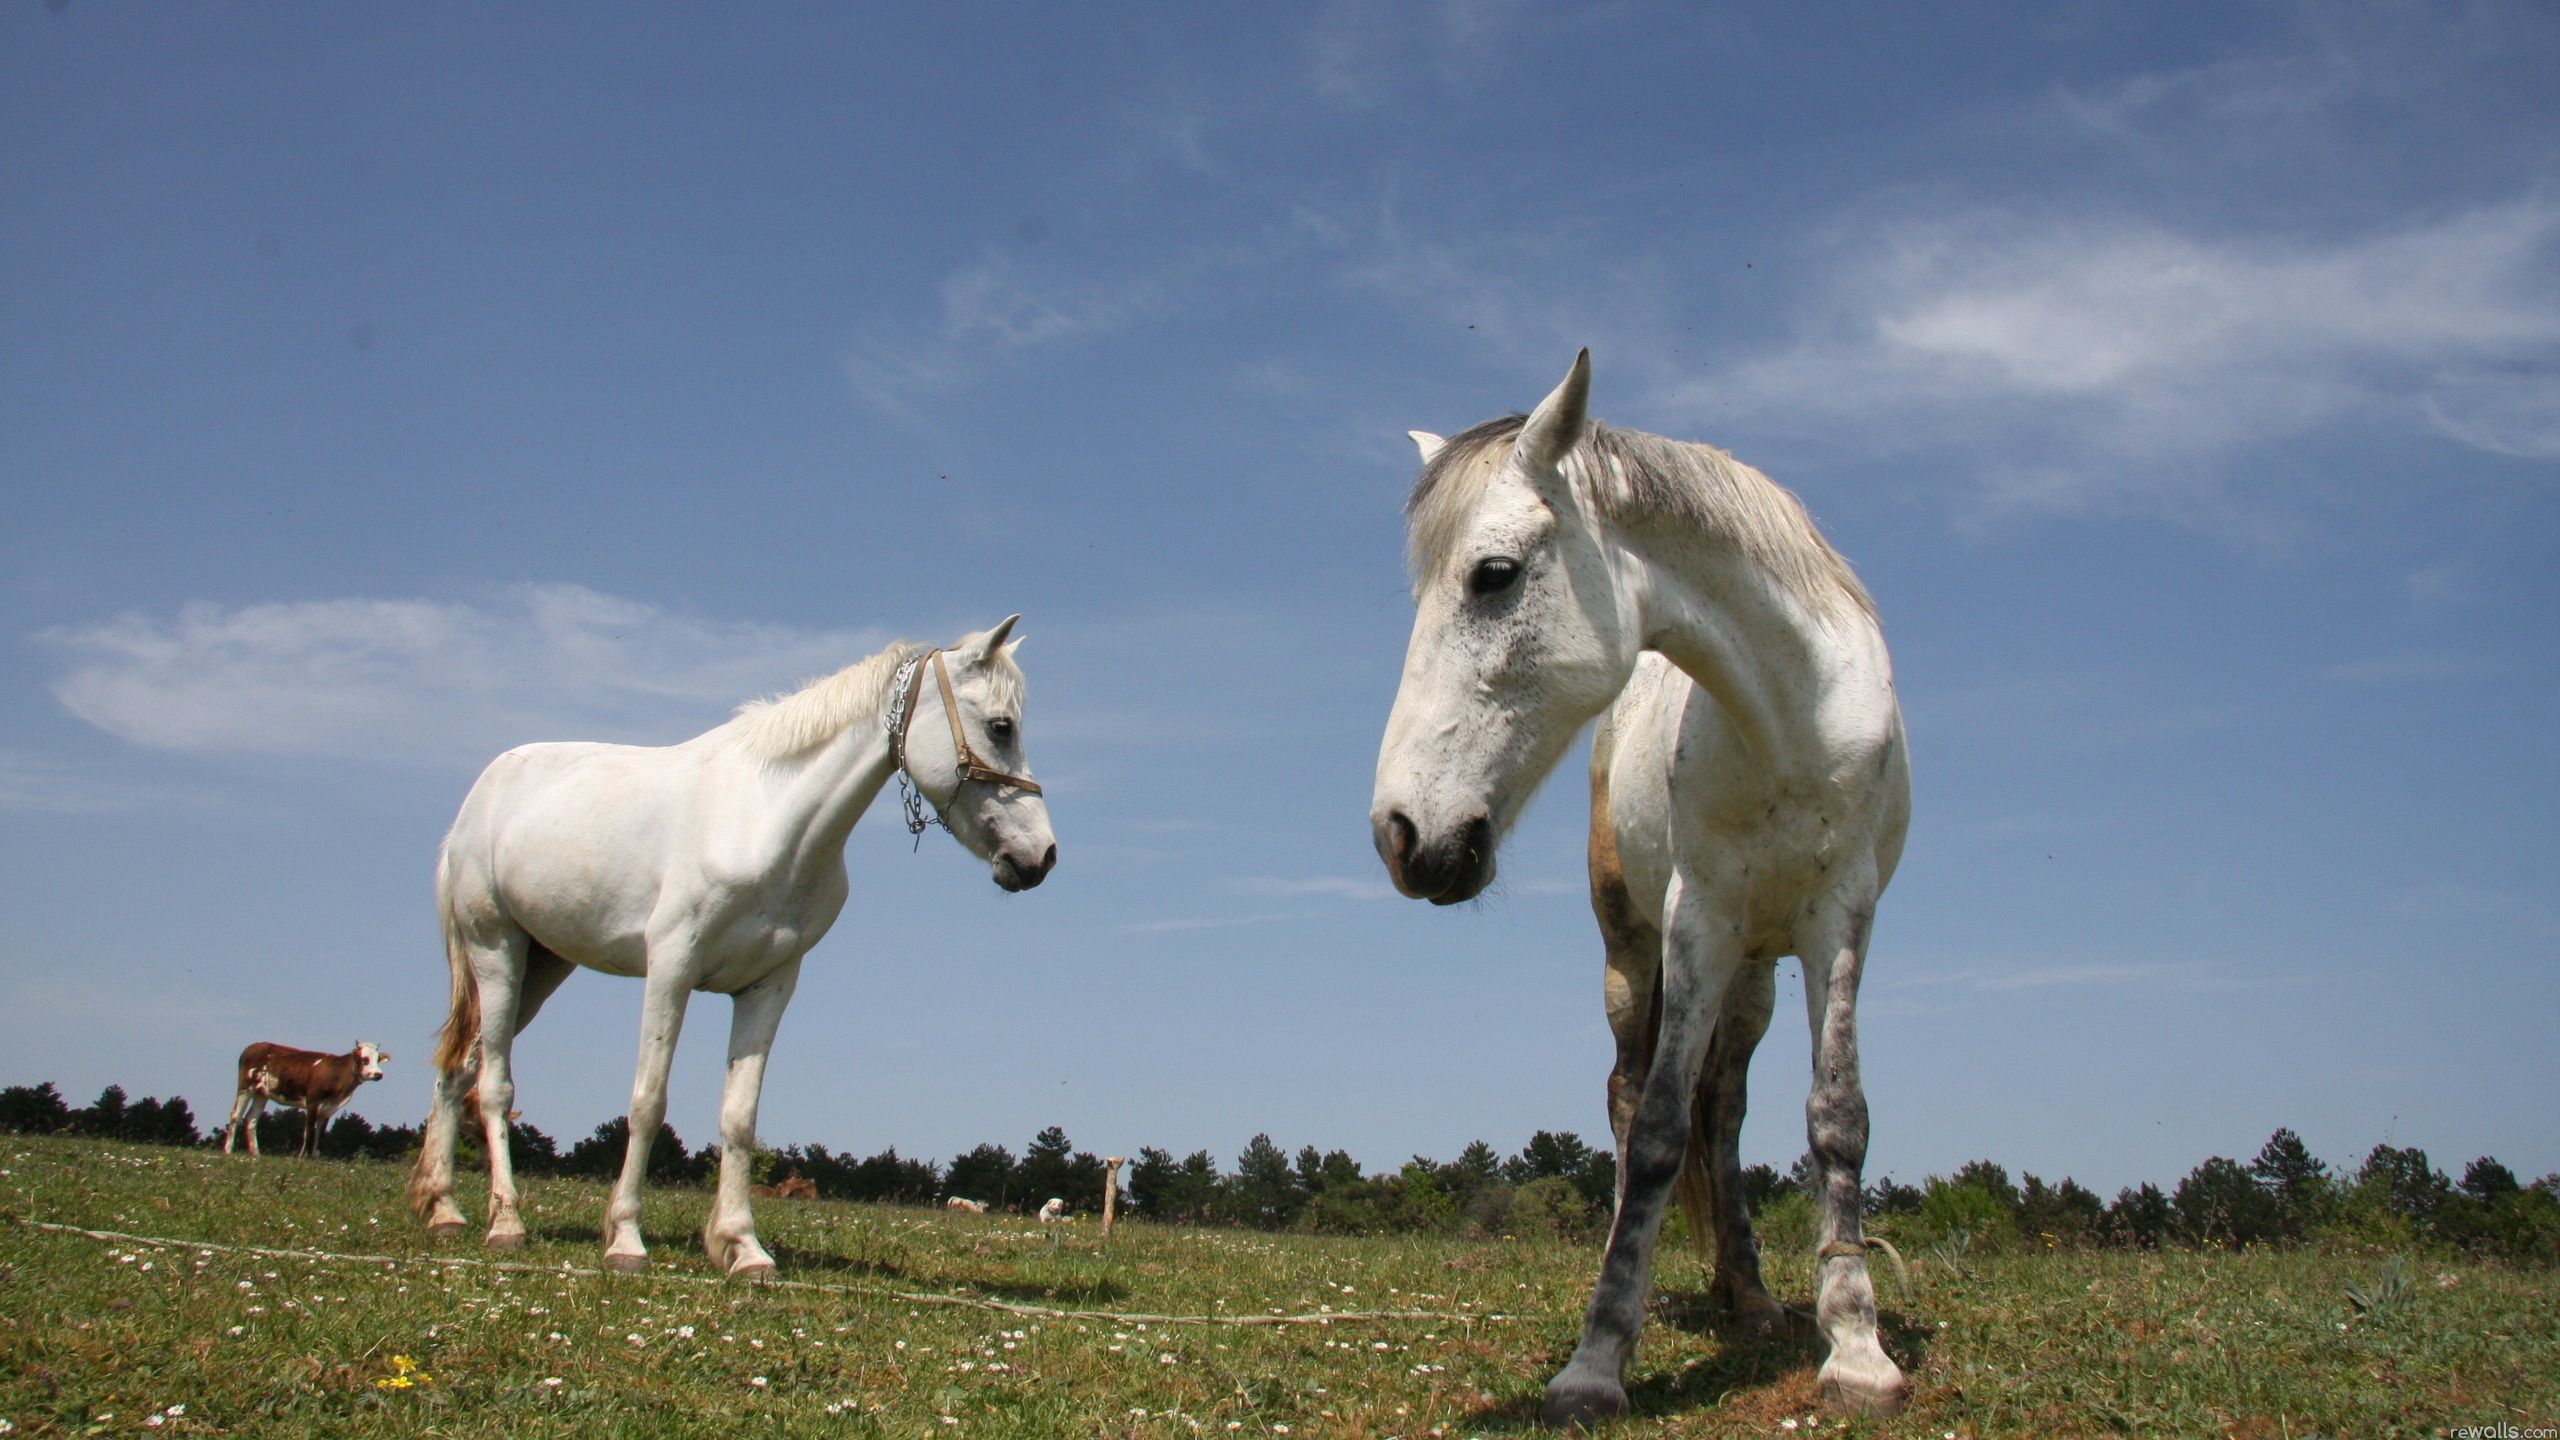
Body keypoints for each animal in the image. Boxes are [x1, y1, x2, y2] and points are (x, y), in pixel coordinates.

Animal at [222, 1035, 386, 1147]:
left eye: (377, 1059)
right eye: (364, 1059)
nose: (378, 1074)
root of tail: (253, 1046)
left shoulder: (329, 1109)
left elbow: (319, 1134)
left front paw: (313, 1158)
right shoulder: (313, 1101)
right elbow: (310, 1132)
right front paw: (304, 1159)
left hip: (262, 1093)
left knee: (252, 1118)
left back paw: (256, 1154)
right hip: (245, 1087)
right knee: (236, 1114)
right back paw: (228, 1151)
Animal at [414, 614, 1054, 1265]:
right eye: (1001, 727)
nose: (1041, 857)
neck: (766, 821)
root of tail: (480, 797)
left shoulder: (767, 986)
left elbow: (739, 1117)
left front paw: (742, 1247)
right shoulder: (670, 970)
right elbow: (648, 1102)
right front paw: (625, 1238)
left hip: (542, 967)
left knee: (458, 1069)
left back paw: (443, 1209)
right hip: (497, 952)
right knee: (493, 1085)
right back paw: (505, 1221)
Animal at [1372, 353, 1914, 1414]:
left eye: (1493, 575)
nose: (1401, 835)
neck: (1787, 722)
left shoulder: (1843, 918)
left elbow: (1835, 1116)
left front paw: (1855, 1344)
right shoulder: (1694, 918)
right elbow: (1659, 1127)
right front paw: (1597, 1356)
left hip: (1755, 969)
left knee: (1727, 1107)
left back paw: (1749, 1295)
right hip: (1634, 951)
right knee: (1630, 1099)